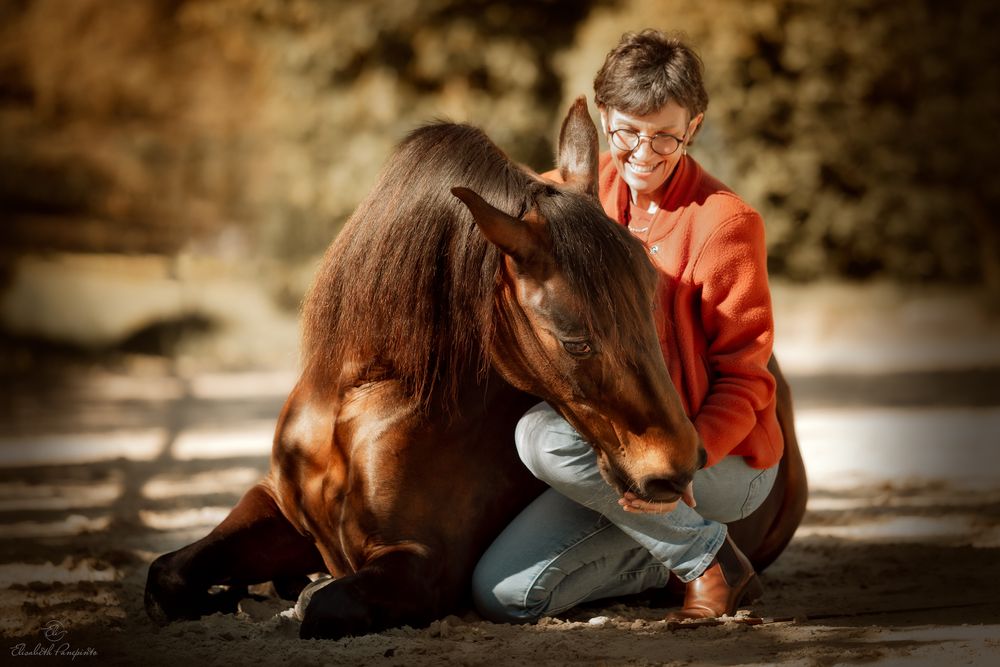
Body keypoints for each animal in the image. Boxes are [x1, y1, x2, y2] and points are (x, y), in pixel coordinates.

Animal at [144, 98, 807, 639]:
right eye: (574, 341)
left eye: (653, 296)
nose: (679, 466)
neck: (361, 397)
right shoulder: (278, 507)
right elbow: (167, 573)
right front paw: (226, 592)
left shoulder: (421, 565)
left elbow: (318, 606)